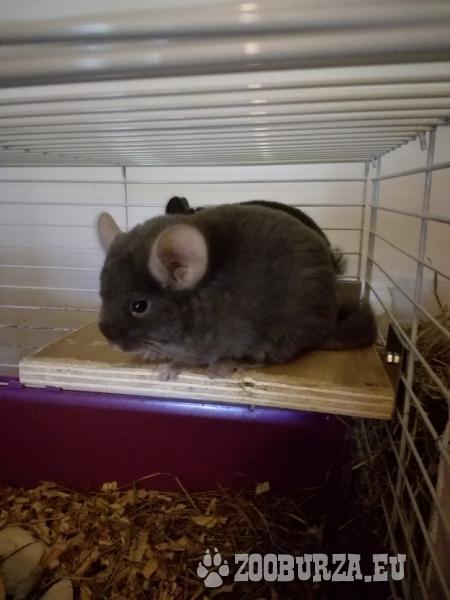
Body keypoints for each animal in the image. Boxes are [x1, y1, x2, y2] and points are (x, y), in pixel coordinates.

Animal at [97, 204, 376, 379]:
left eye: (139, 306)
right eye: (102, 294)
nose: (110, 342)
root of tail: (327, 327)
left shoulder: (203, 346)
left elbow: (185, 360)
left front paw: (167, 370)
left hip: (274, 336)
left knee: (268, 359)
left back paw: (226, 367)